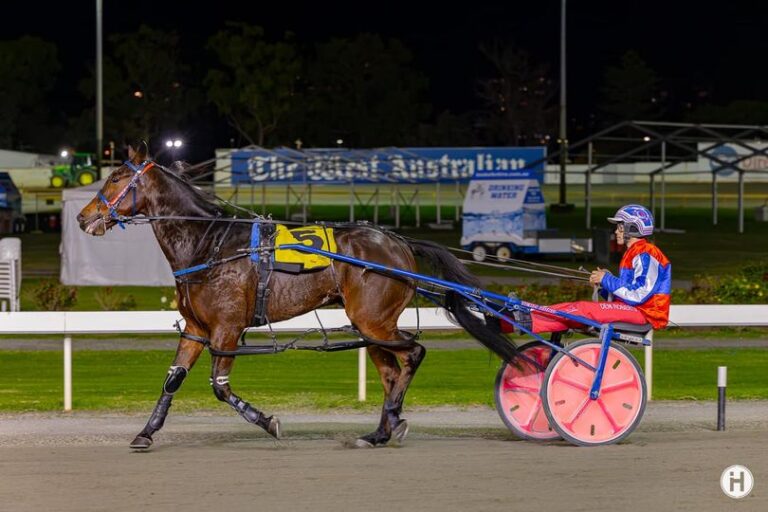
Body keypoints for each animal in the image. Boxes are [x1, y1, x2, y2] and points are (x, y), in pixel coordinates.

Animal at [76, 142, 516, 449]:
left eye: (116, 177)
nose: (83, 217)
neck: (208, 244)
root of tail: (399, 242)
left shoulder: (227, 329)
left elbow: (220, 387)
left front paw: (269, 422)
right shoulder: (197, 328)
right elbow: (171, 382)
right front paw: (145, 433)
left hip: (374, 320)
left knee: (414, 354)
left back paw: (391, 421)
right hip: (371, 323)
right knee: (393, 370)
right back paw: (379, 432)